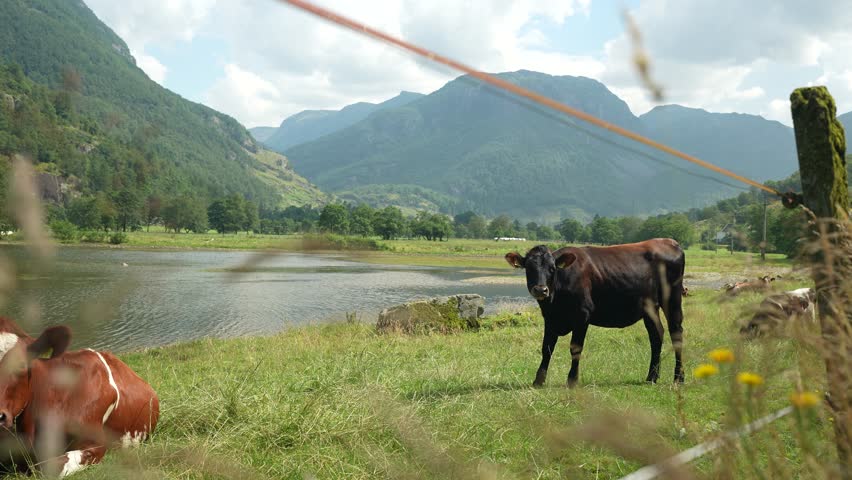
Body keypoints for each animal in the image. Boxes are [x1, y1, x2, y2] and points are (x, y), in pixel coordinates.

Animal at [505, 238, 685, 387]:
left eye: (552, 268)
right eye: (529, 268)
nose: (541, 290)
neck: (555, 301)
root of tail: (670, 242)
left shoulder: (582, 314)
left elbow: (575, 348)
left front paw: (572, 380)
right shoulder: (550, 318)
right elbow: (546, 348)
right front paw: (538, 380)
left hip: (672, 299)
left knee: (676, 333)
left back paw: (679, 378)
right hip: (650, 308)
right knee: (656, 335)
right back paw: (651, 377)